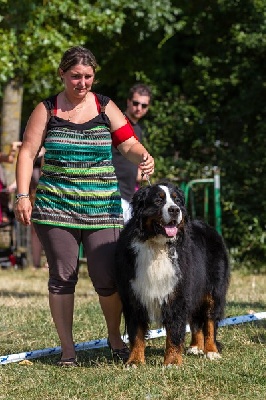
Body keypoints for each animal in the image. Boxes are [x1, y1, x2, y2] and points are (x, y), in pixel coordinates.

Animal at [115, 181, 230, 366]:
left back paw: (211, 350)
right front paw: (135, 361)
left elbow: (175, 331)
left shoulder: (178, 292)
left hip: (213, 290)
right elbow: (136, 332)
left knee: (210, 320)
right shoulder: (134, 294)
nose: (175, 210)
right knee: (195, 320)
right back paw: (196, 346)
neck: (157, 245)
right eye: (158, 200)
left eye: (177, 200)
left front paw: (172, 361)